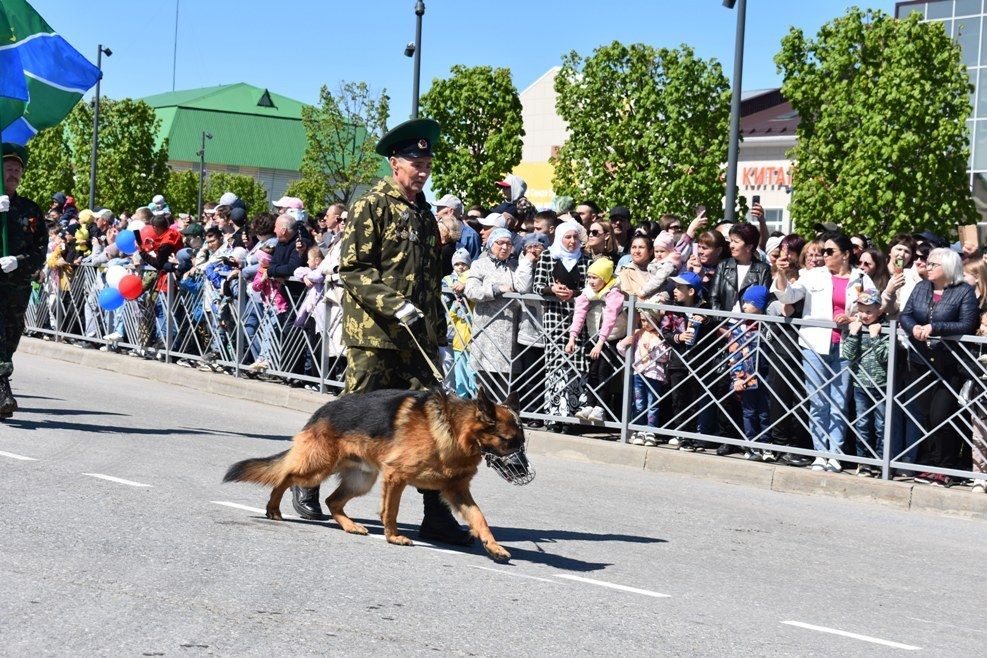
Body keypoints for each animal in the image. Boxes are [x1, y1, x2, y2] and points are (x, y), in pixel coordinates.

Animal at [225, 386, 528, 560]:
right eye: (508, 441)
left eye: (522, 443)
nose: (524, 470)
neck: (453, 429)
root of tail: (322, 409)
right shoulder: (396, 476)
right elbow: (390, 511)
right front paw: (393, 536)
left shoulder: (456, 491)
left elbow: (480, 518)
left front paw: (493, 547)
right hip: (318, 467)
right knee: (286, 477)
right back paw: (274, 508)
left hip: (362, 480)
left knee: (332, 500)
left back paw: (350, 525)